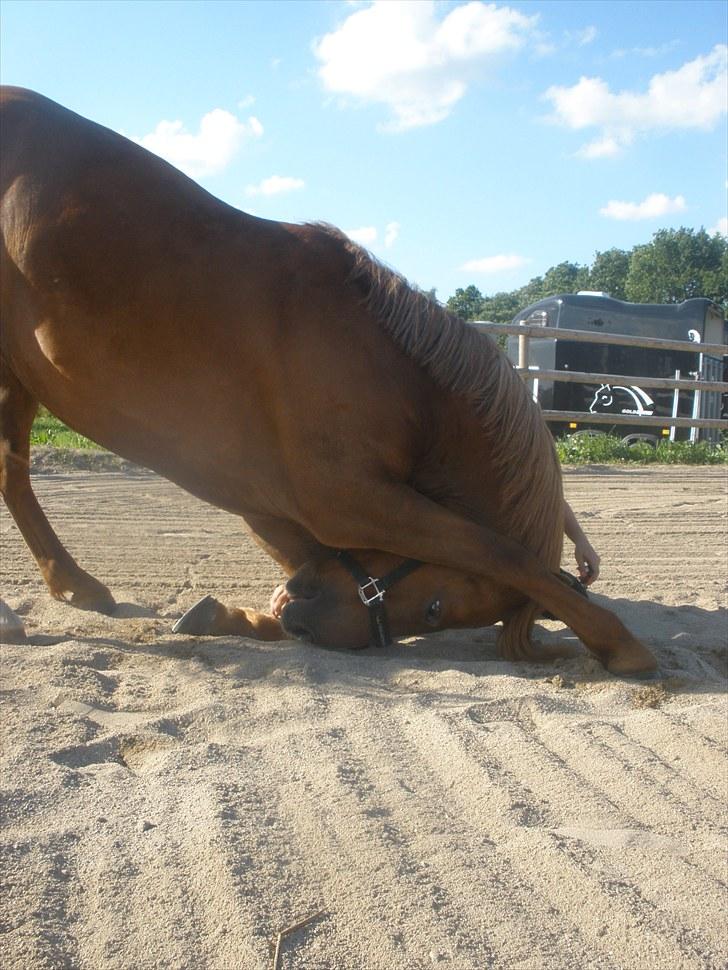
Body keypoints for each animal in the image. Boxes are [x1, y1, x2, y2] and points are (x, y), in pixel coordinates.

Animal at [1, 85, 660, 672]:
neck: (400, 380)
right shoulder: (351, 499)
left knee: (13, 474)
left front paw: (236, 617)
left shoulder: (270, 502)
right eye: (435, 608)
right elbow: (501, 551)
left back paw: (74, 587)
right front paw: (617, 641)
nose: (304, 623)